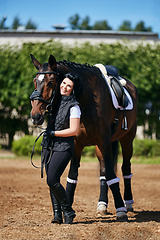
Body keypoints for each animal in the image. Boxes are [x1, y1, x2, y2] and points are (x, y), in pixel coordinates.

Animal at [30, 54, 138, 221]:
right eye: (35, 81)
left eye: (50, 82)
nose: (35, 116)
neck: (87, 101)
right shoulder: (77, 143)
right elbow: (72, 175)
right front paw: (67, 207)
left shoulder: (104, 141)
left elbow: (112, 175)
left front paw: (121, 210)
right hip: (101, 147)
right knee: (103, 171)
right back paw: (102, 205)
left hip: (127, 140)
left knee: (125, 168)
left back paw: (128, 203)